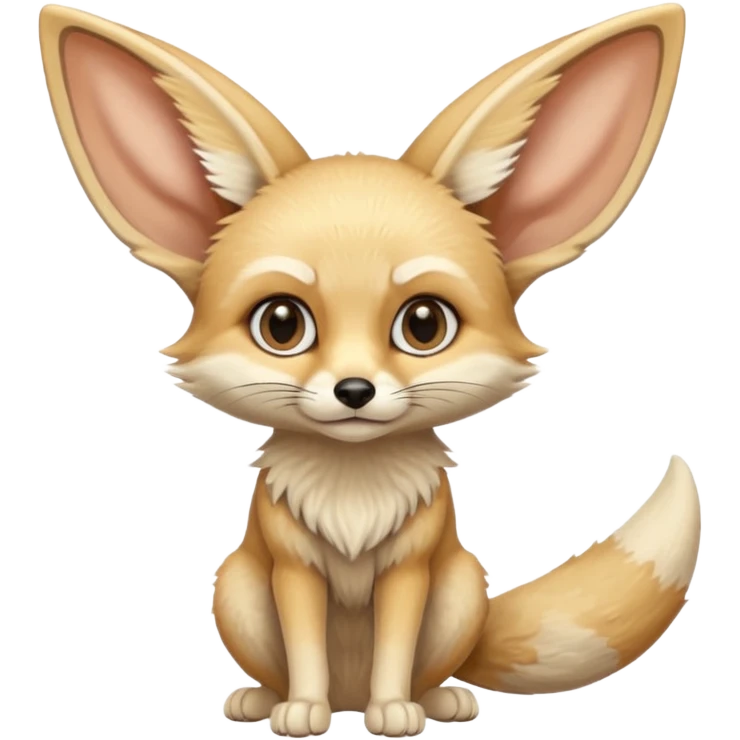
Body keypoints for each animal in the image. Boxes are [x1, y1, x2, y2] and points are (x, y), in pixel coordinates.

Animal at [38, 3, 701, 736]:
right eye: (281, 324)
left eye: (423, 325)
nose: (353, 390)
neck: (353, 491)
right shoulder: (292, 567)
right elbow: (304, 648)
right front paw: (302, 709)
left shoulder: (411, 569)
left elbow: (395, 649)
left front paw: (393, 710)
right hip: (236, 585)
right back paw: (265, 700)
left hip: (461, 586)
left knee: (428, 666)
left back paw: (431, 700)